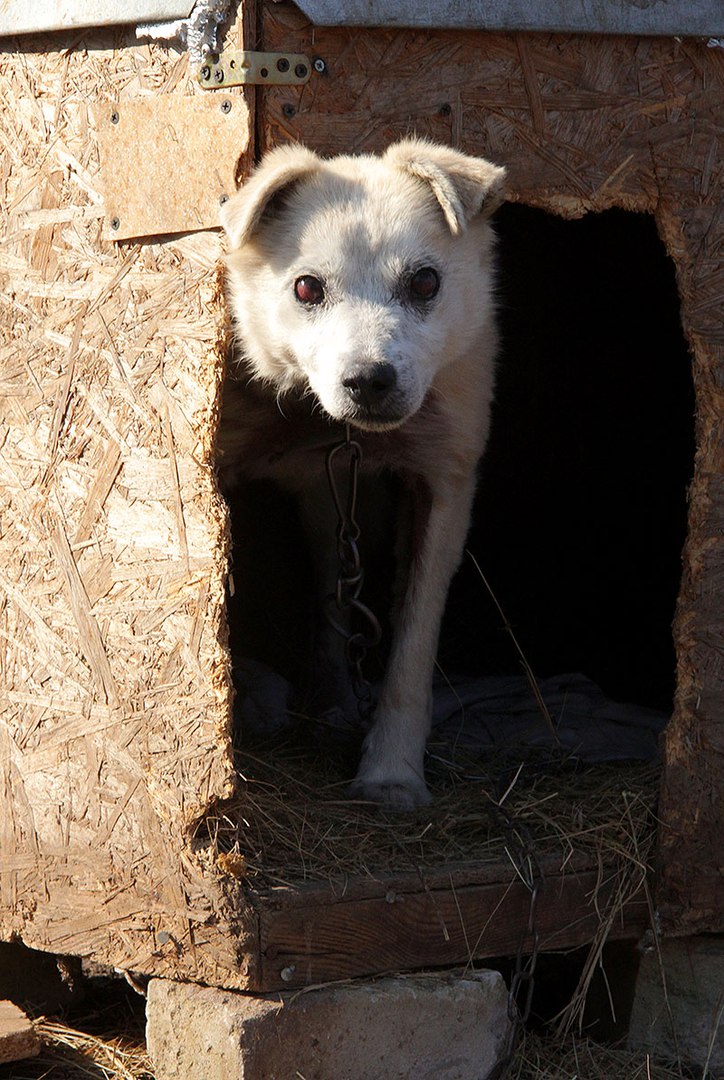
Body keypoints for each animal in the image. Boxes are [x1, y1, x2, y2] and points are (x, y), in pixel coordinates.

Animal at [217, 138, 505, 810]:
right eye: (306, 288)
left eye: (424, 281)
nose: (370, 380)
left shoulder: (443, 487)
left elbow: (411, 649)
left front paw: (392, 774)